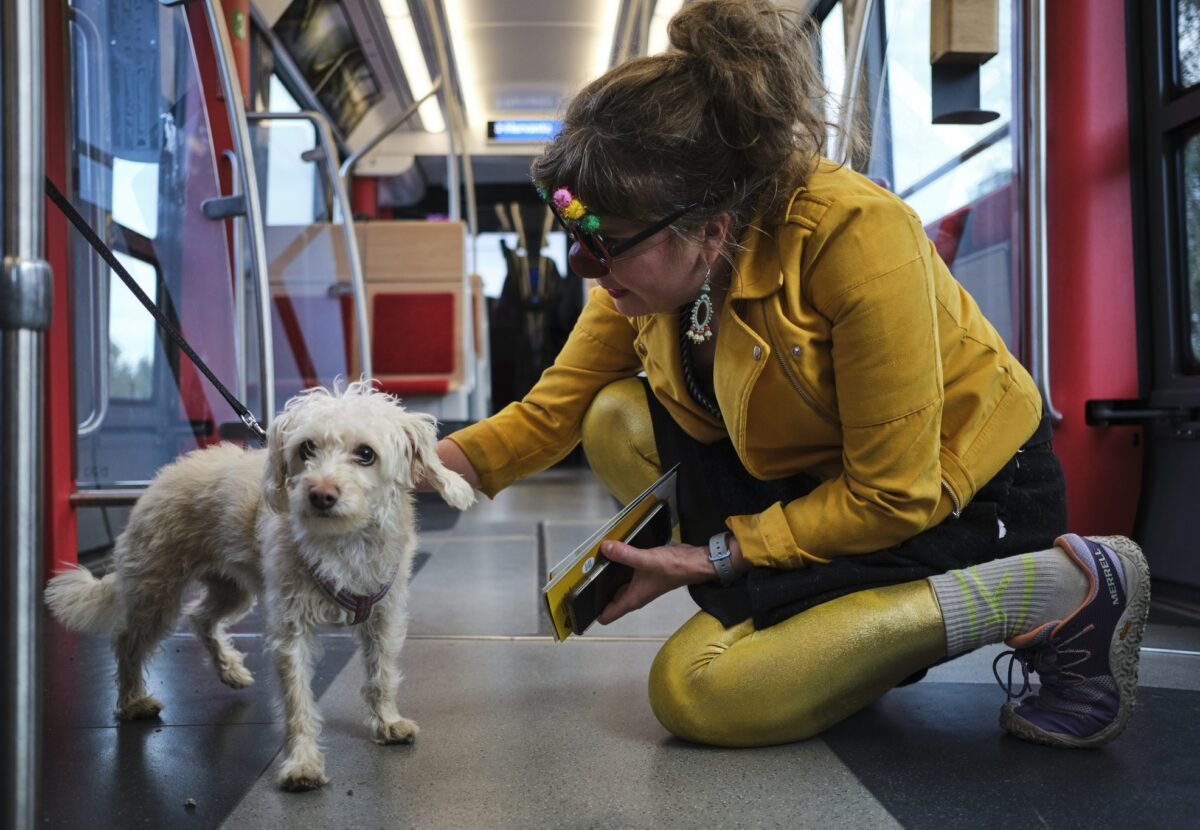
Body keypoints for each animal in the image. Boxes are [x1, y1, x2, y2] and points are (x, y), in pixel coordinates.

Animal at [43, 381, 472, 791]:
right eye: (307, 447)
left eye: (366, 454)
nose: (320, 494)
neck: (343, 542)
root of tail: (161, 478)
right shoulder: (291, 632)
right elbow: (298, 702)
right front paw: (302, 764)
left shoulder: (382, 618)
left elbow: (380, 676)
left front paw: (386, 722)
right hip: (157, 594)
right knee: (127, 642)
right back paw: (132, 700)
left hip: (234, 591)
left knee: (200, 617)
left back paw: (229, 669)